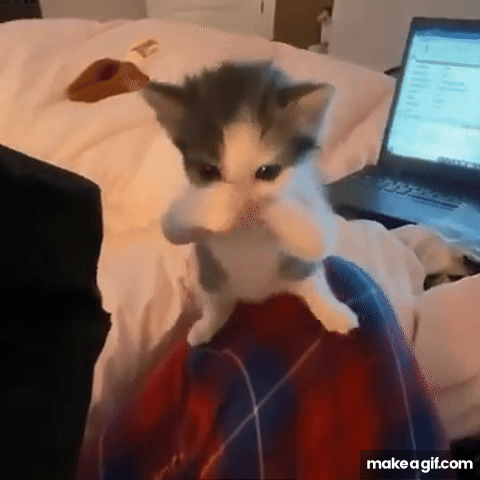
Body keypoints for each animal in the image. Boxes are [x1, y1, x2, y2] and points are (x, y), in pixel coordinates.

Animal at [143, 61, 358, 346]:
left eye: (267, 172)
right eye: (209, 171)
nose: (245, 210)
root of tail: (258, 295)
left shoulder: (314, 207)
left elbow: (316, 237)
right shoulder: (180, 213)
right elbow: (173, 227)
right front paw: (227, 205)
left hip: (295, 270)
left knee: (312, 281)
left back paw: (334, 312)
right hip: (210, 274)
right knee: (219, 302)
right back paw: (206, 326)